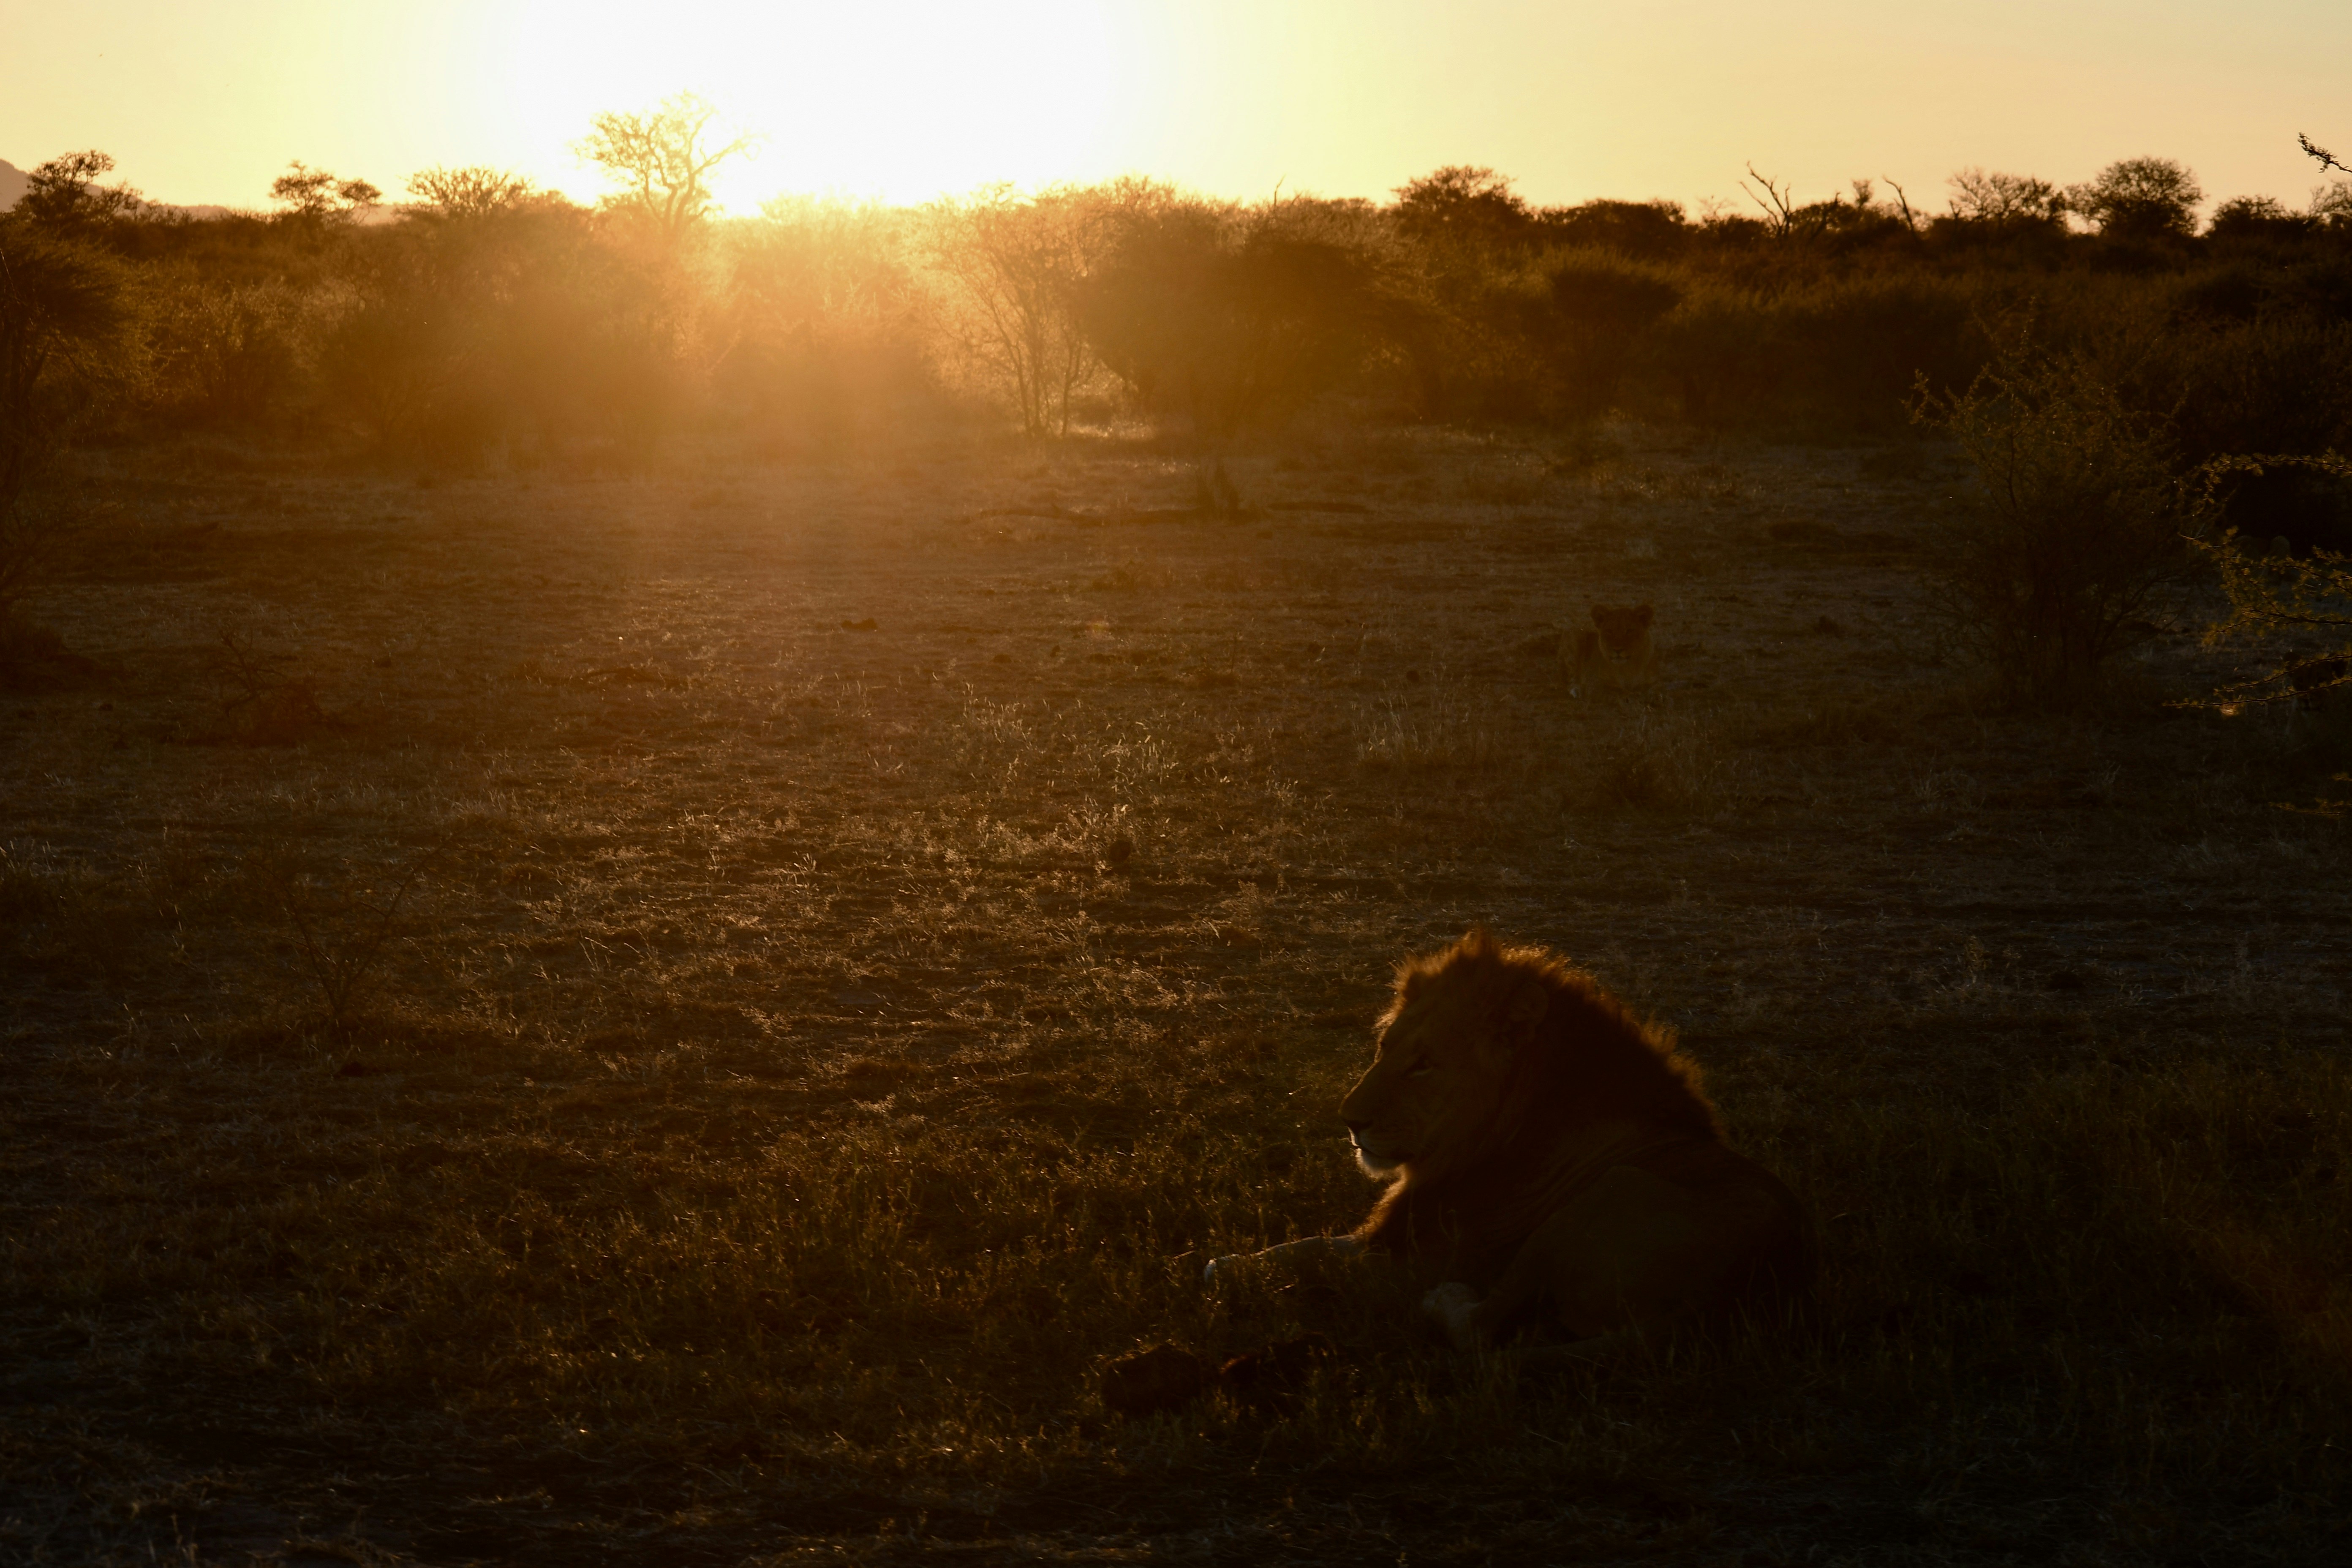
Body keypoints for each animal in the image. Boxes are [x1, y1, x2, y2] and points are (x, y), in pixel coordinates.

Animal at [1206, 930, 1810, 1356]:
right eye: (1384, 1047)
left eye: (1424, 1065)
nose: (1349, 1122)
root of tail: (1717, 1302)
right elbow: (1301, 1246)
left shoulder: (1409, 1260)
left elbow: (1305, 1258)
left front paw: (1224, 1269)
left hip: (1601, 1193)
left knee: (1481, 1331)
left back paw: (1447, 1301)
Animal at [1566, 604, 1658, 694]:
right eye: (1609, 631)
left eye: (1629, 631)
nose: (1618, 650)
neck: (1626, 669)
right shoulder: (1593, 682)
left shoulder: (1652, 682)